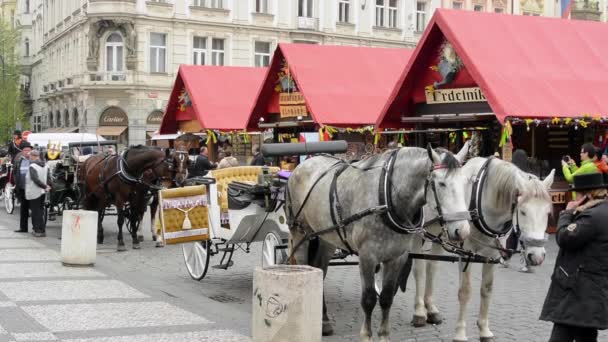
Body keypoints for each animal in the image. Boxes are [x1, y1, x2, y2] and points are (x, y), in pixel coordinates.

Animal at [288, 146, 472, 342]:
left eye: (463, 183)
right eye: (441, 184)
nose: (462, 230)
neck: (388, 198)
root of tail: (305, 163)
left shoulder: (397, 257)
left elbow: (386, 297)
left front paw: (383, 335)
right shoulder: (367, 257)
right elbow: (369, 299)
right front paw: (366, 335)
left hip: (326, 238)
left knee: (320, 271)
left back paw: (324, 321)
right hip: (300, 233)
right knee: (303, 268)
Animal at [408, 157, 556, 342]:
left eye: (548, 212)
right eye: (522, 212)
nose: (537, 256)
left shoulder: (492, 254)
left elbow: (486, 290)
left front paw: (484, 330)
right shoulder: (466, 253)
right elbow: (464, 292)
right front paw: (460, 333)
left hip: (438, 235)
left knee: (431, 268)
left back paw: (431, 310)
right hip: (418, 233)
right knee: (419, 269)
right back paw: (419, 312)